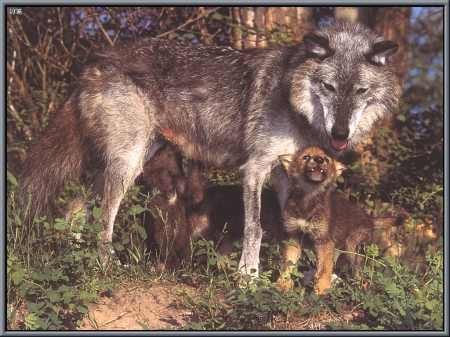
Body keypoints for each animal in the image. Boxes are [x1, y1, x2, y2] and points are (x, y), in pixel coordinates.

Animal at [20, 21, 400, 278]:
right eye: (329, 87)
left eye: (361, 91)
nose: (340, 132)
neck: (294, 102)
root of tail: (96, 62)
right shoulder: (254, 169)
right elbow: (255, 228)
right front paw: (249, 278)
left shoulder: (286, 177)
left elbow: (293, 232)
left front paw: (302, 277)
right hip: (126, 164)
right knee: (102, 216)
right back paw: (107, 264)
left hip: (133, 161)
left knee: (74, 208)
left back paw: (75, 259)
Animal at [276, 146, 406, 292]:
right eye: (306, 157)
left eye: (326, 159)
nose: (319, 160)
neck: (308, 201)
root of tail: (369, 219)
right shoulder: (294, 236)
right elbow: (287, 265)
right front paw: (282, 285)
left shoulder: (325, 242)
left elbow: (324, 271)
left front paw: (321, 291)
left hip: (353, 249)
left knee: (362, 274)